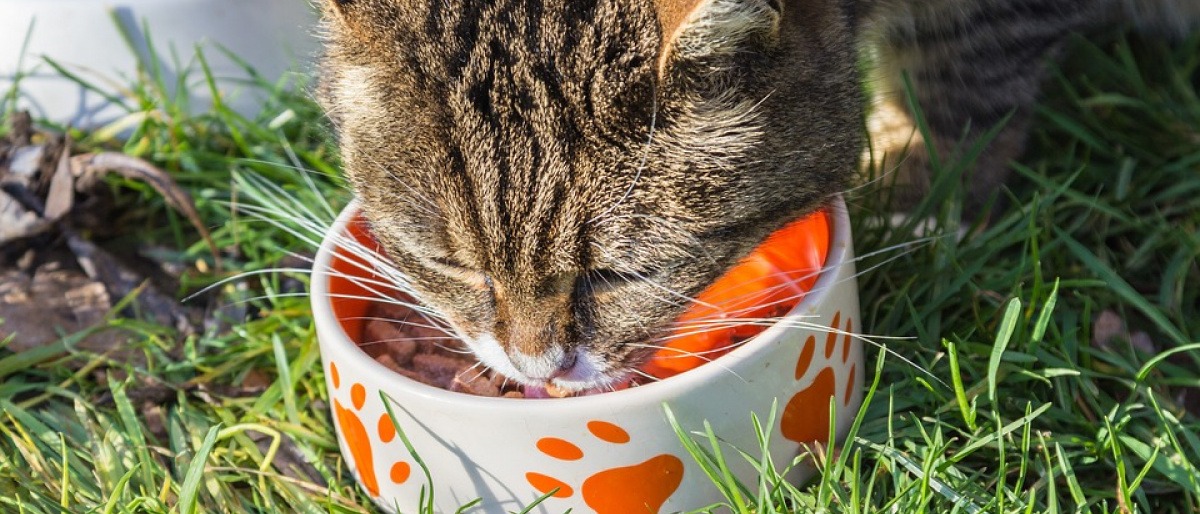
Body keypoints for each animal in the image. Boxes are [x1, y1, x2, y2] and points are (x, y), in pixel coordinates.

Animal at [314, 0, 1195, 391]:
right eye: (449, 265)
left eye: (621, 275)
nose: (537, 369)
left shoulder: (985, 22)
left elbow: (961, 73)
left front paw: (928, 187)